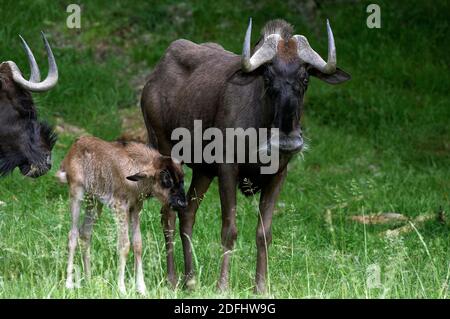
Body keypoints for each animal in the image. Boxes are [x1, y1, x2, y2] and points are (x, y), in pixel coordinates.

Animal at [57, 136, 187, 296]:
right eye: (166, 178)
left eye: (182, 177)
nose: (182, 203)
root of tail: (73, 148)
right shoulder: (120, 207)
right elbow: (124, 246)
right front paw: (122, 288)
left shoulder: (135, 208)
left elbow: (138, 244)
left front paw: (141, 288)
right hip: (77, 193)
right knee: (73, 234)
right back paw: (69, 284)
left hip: (94, 202)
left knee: (85, 233)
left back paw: (88, 280)